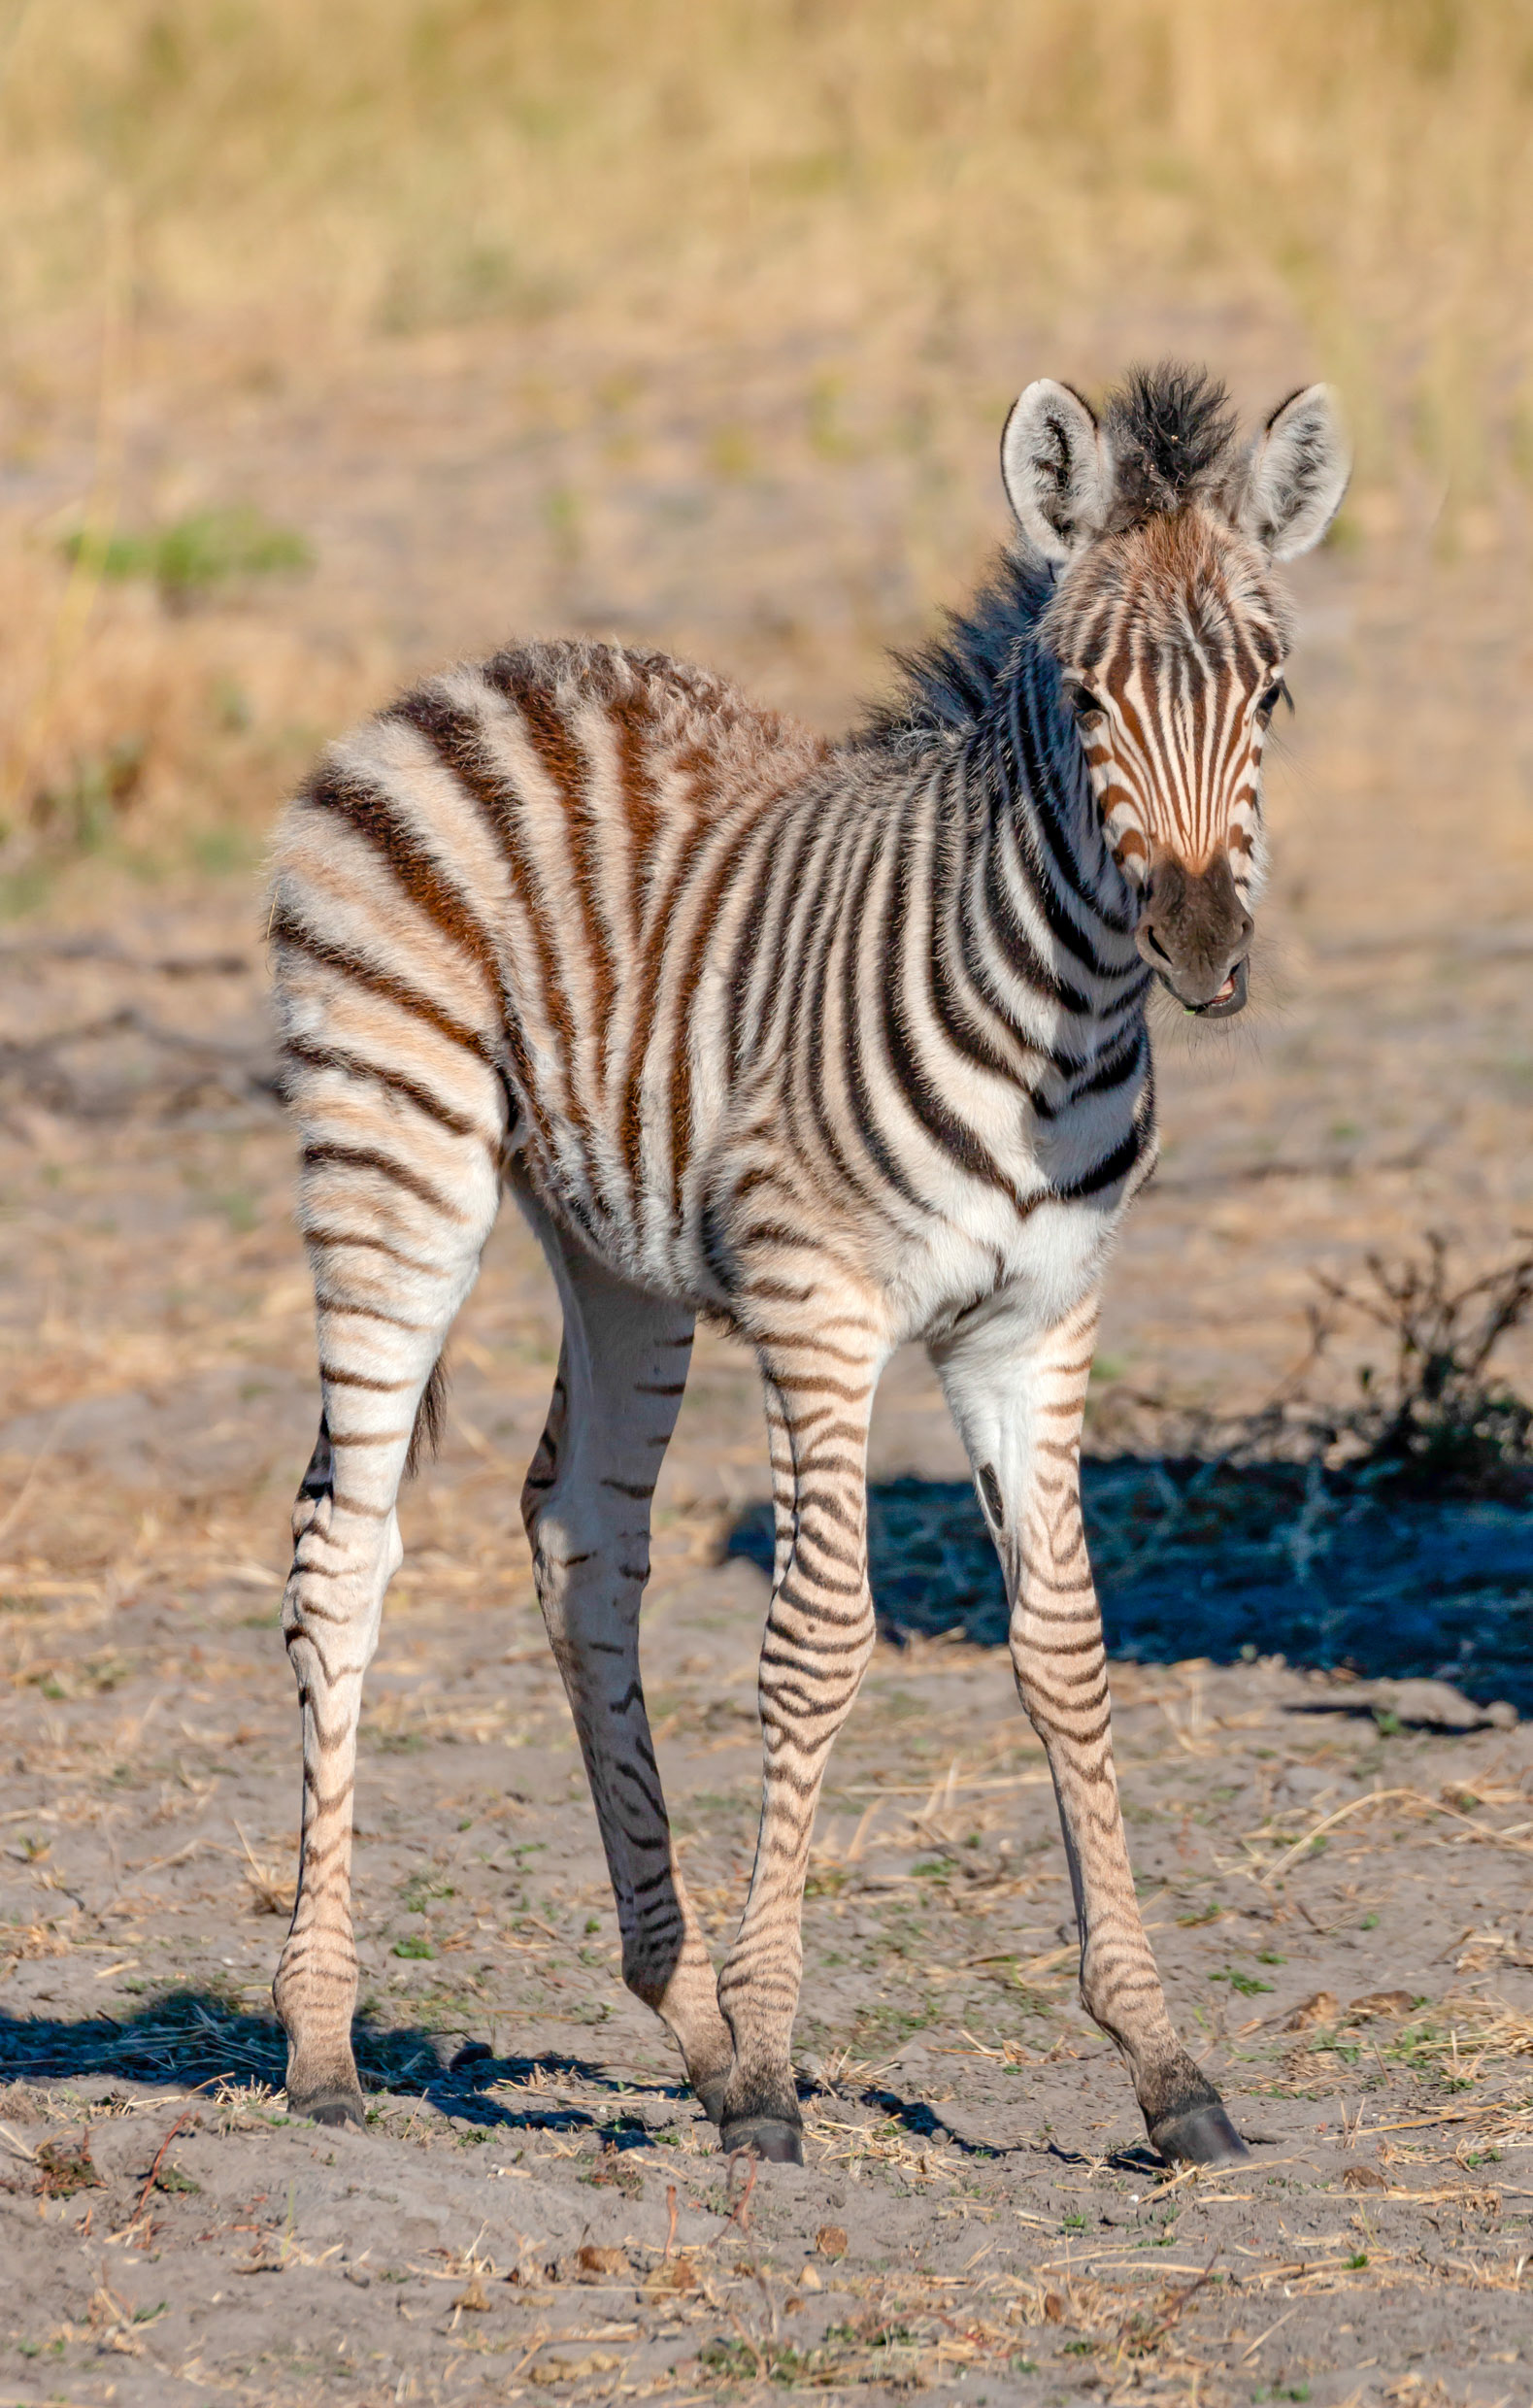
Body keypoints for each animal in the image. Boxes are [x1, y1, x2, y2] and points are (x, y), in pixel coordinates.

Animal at [268, 362, 1349, 2168]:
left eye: (1268, 689)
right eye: (1082, 693)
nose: (1199, 951)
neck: (1062, 1020)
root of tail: (482, 672)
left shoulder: (1034, 1326)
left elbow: (1064, 1647)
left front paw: (1161, 2063)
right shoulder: (816, 1301)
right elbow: (819, 1641)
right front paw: (779, 2071)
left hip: (614, 1251)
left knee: (580, 1543)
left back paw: (685, 2024)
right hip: (393, 1152)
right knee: (343, 1554)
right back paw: (324, 2047)